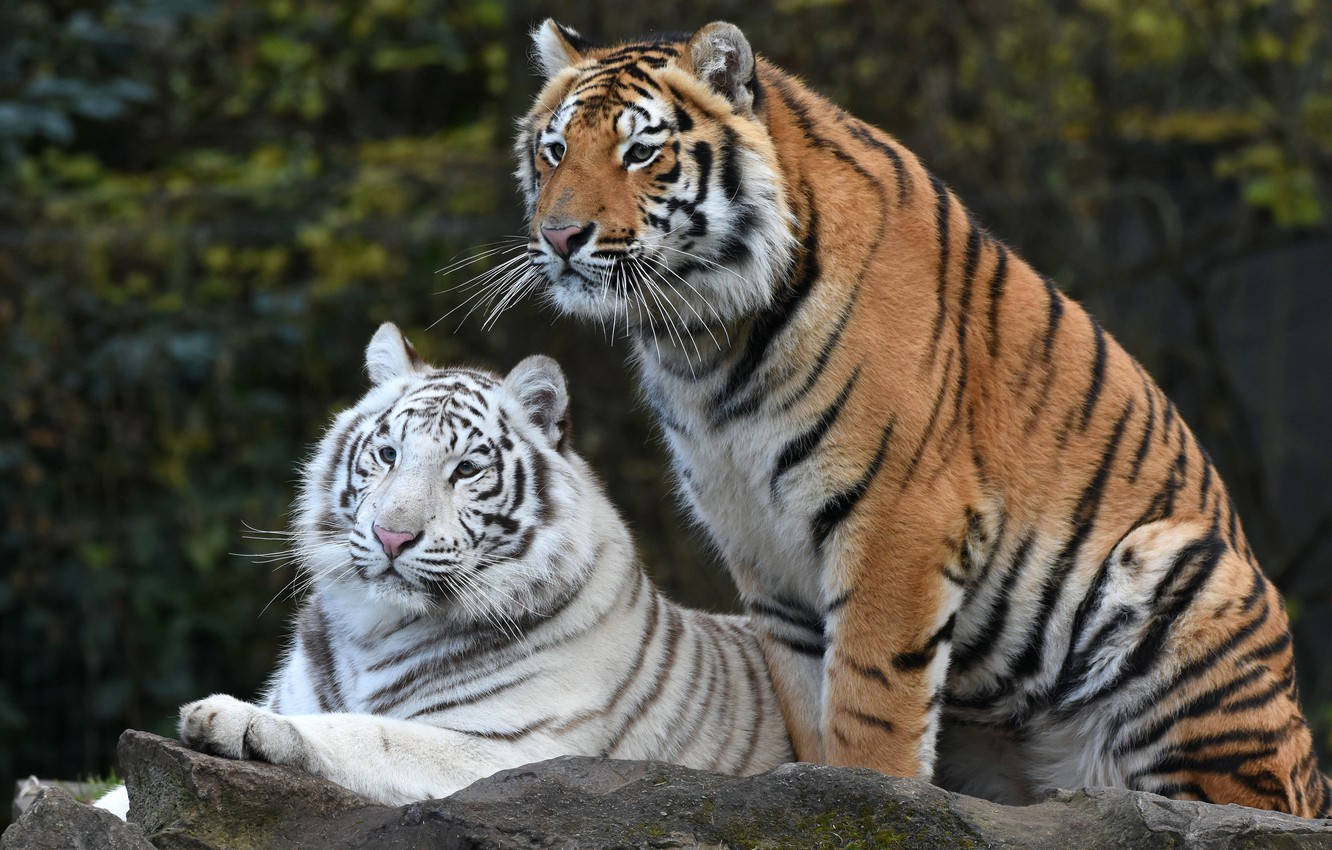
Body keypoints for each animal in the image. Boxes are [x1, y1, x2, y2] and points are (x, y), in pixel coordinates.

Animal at [113, 322, 790, 810]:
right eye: (388, 454)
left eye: (466, 469)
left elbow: (368, 732)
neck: (375, 628)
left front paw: (229, 718)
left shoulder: (515, 754)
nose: (391, 535)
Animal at [510, 19, 1332, 816]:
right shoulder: (761, 543)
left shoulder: (897, 516)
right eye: (555, 151)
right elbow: (810, 701)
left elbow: (869, 698)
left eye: (641, 151)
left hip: (1180, 577)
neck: (705, 343)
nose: (559, 236)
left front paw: (866, 796)